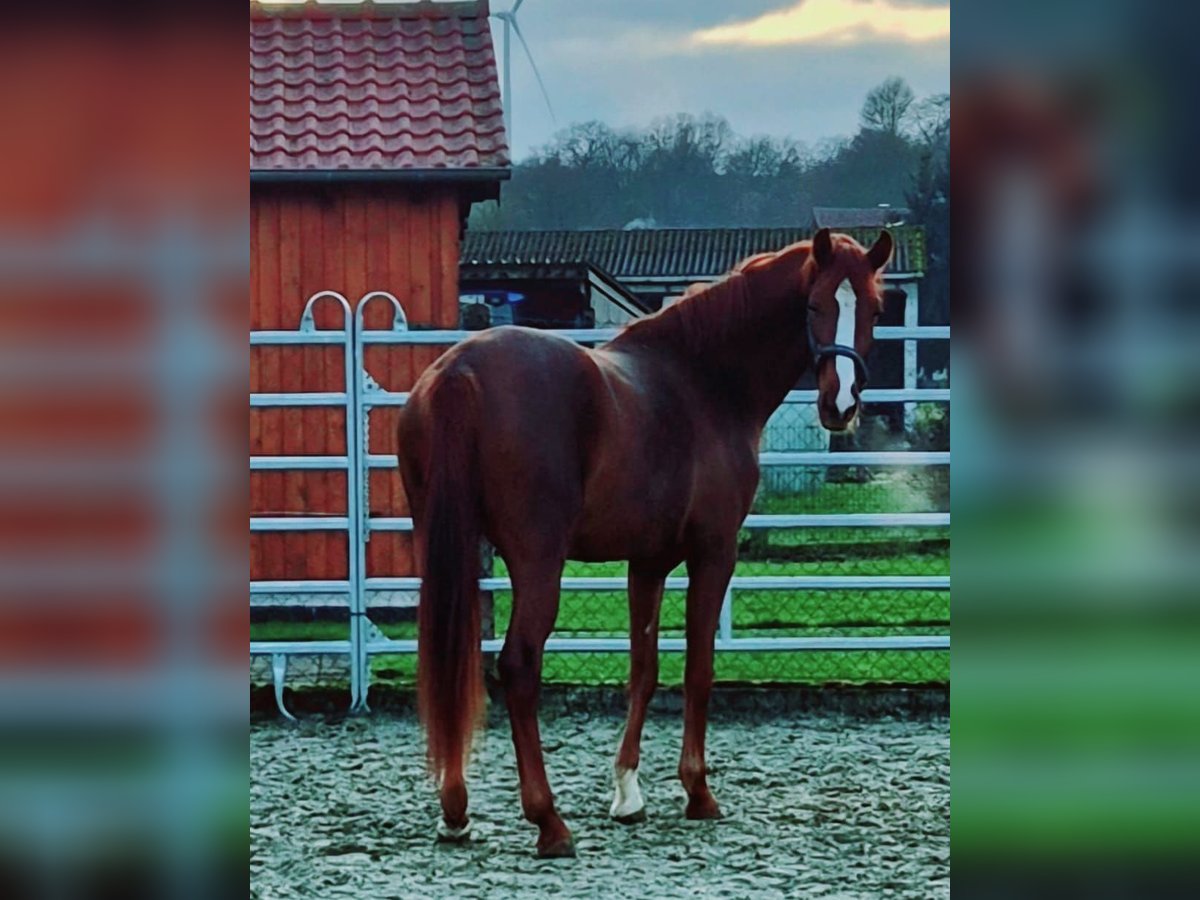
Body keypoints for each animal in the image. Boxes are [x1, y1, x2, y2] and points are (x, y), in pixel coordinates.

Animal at [396, 226, 892, 859]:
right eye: (813, 305)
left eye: (873, 310)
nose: (842, 405)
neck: (702, 383)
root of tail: (461, 371)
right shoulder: (713, 552)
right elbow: (699, 669)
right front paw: (698, 792)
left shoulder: (647, 561)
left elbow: (644, 666)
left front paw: (627, 792)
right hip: (537, 562)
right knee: (518, 665)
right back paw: (548, 821)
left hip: (445, 549)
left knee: (447, 659)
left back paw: (456, 812)